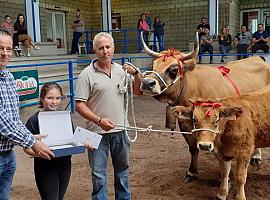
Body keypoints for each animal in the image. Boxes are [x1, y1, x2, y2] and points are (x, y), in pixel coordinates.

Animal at [140, 31, 270, 183]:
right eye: (152, 66)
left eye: (173, 69)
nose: (147, 83)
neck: (194, 89)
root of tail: (258, 58)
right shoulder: (186, 125)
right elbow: (193, 148)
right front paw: (192, 172)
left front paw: (224, 178)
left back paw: (256, 157)